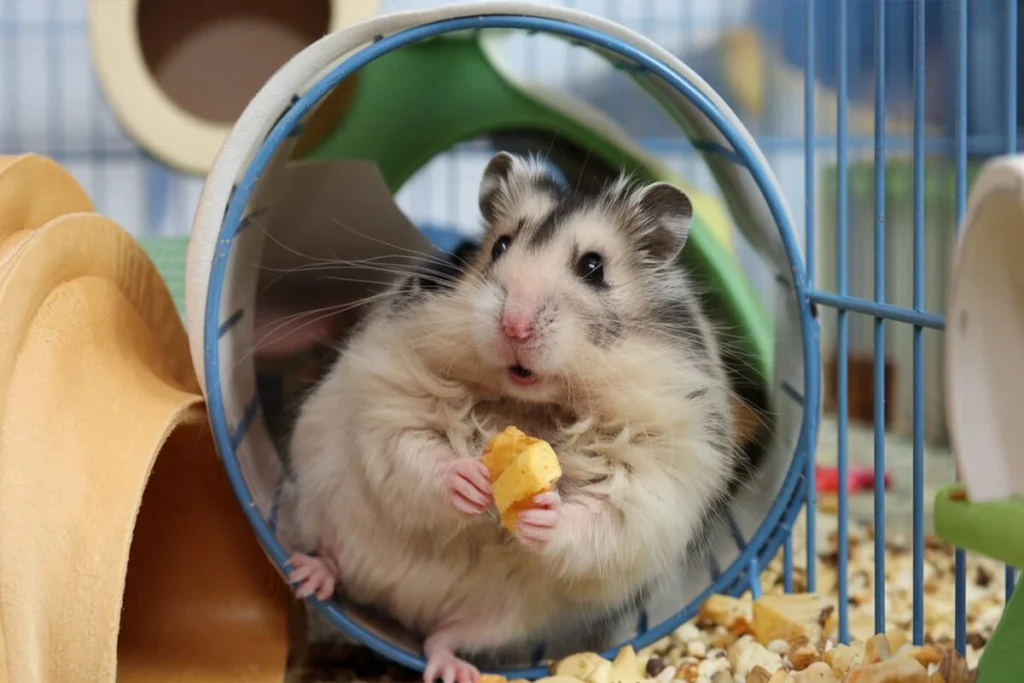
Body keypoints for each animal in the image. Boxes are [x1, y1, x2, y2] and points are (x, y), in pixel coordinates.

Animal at [284, 153, 741, 683]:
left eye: (593, 266)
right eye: (500, 246)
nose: (515, 326)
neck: (530, 402)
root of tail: (400, 613)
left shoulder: (653, 470)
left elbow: (606, 511)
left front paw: (543, 512)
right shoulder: (393, 399)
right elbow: (418, 450)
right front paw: (471, 482)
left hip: (504, 621)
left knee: (444, 637)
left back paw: (452, 669)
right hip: (323, 517)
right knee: (335, 563)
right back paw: (306, 575)